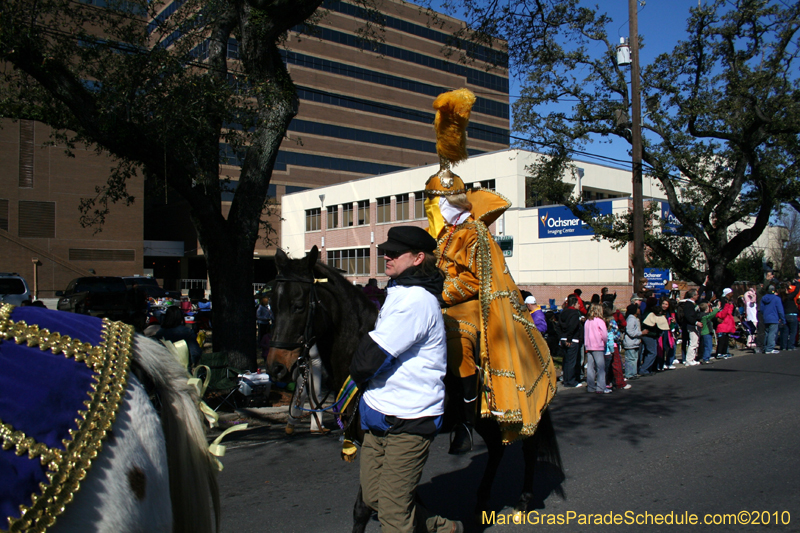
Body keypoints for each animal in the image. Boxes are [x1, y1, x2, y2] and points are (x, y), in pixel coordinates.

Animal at [268, 246, 564, 528]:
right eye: (272, 305)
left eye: (298, 306)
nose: (275, 367)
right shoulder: (373, 441)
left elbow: (367, 506)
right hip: (485, 418)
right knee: (496, 447)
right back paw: (481, 501)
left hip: (520, 409)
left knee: (528, 447)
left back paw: (522, 502)